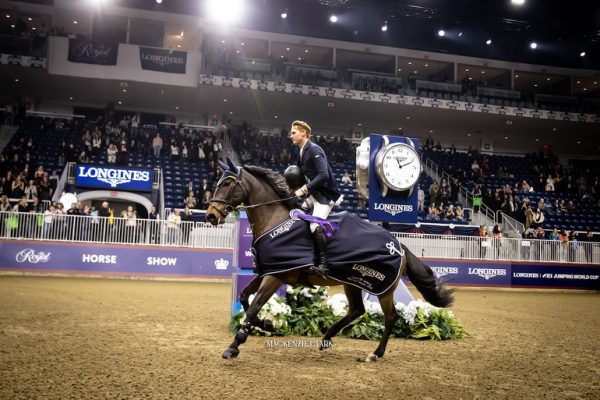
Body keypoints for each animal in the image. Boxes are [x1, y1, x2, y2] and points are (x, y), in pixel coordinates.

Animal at [209, 159, 452, 362]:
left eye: (228, 184)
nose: (211, 215)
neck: (275, 221)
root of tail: (399, 245)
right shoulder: (268, 271)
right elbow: (244, 298)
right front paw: (267, 324)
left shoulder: (276, 276)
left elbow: (253, 307)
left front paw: (234, 346)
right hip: (352, 282)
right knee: (357, 310)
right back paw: (327, 337)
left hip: (383, 288)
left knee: (390, 316)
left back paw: (376, 353)